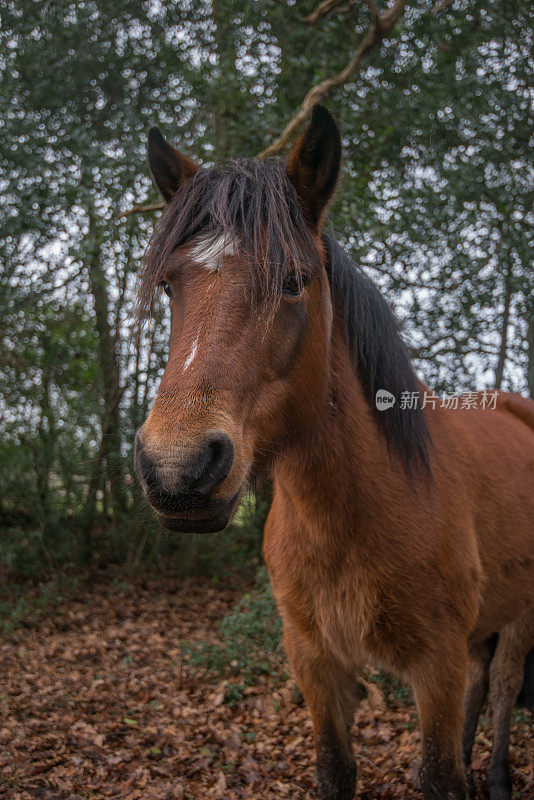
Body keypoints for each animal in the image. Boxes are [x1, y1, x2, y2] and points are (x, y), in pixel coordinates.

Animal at [135, 108, 534, 800]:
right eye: (167, 287)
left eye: (294, 281)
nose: (177, 470)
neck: (351, 514)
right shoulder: (314, 660)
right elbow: (336, 769)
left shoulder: (436, 663)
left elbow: (439, 775)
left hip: (519, 621)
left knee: (506, 688)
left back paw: (500, 778)